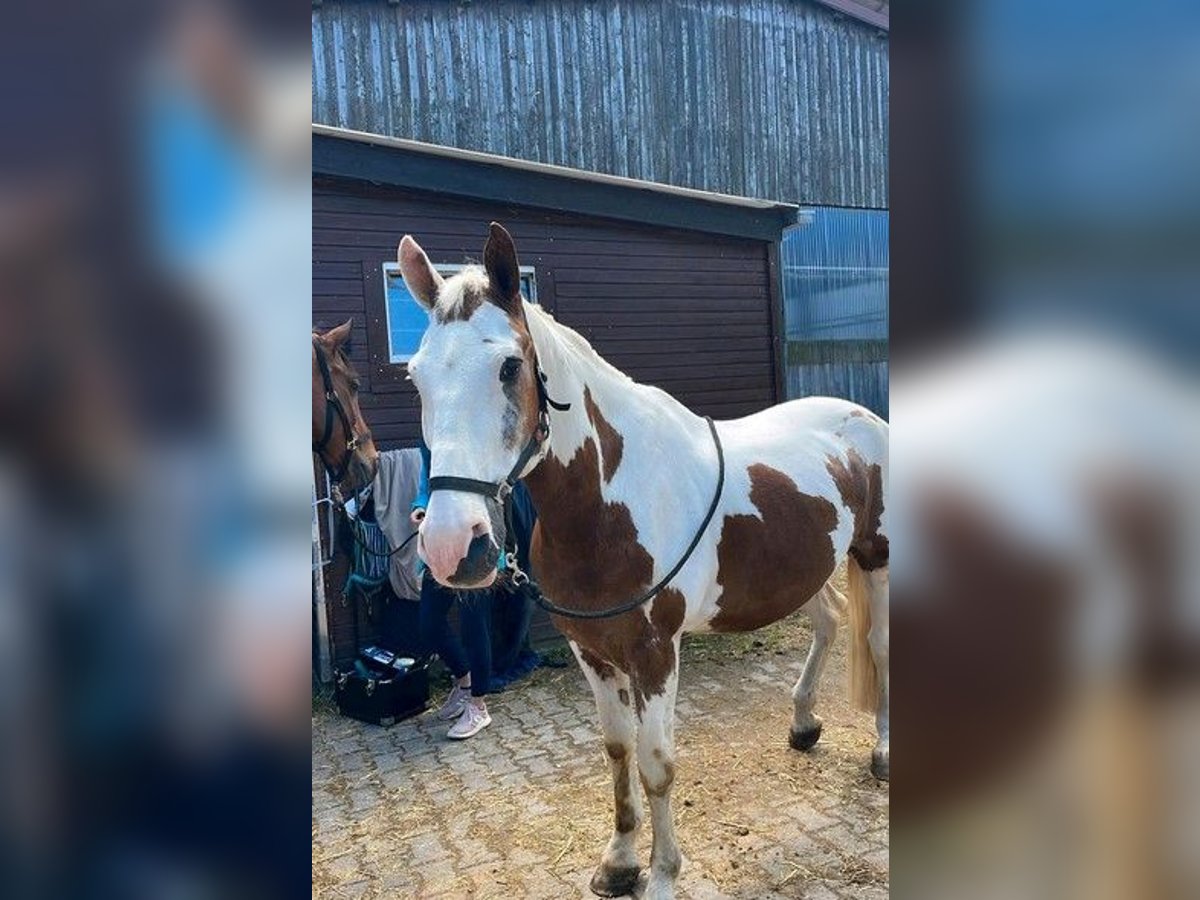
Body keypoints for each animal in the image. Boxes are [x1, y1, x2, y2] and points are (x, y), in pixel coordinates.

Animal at [398, 225, 888, 900]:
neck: (609, 502)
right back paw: (804, 723)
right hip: (807, 568)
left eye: (509, 365)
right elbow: (616, 749)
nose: (452, 546)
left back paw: (884, 753)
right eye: (416, 377)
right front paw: (620, 860)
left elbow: (658, 766)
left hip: (878, 555)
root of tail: (864, 418)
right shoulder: (593, 652)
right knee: (831, 621)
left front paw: (660, 875)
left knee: (881, 644)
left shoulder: (655, 653)